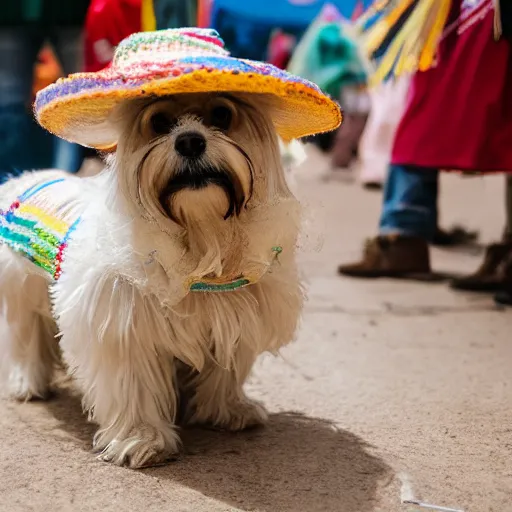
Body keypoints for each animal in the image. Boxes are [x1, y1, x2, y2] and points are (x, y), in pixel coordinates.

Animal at [2, 29, 342, 468]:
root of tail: (27, 176)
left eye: (222, 114)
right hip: (23, 292)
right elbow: (134, 386)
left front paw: (228, 409)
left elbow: (226, 370)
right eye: (159, 121)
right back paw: (28, 383)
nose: (190, 141)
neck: (201, 236)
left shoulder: (234, 319)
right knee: (26, 339)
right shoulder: (124, 328)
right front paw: (141, 439)